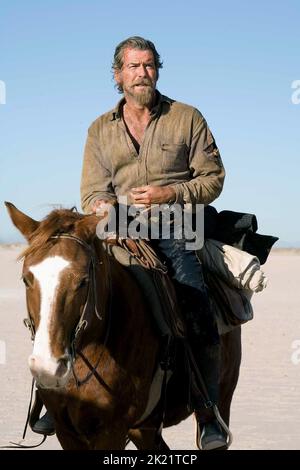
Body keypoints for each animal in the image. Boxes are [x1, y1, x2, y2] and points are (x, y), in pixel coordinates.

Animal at [4, 202, 243, 452]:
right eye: (26, 279)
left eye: (83, 281)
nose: (48, 367)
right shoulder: (66, 431)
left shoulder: (112, 431)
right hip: (144, 428)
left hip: (223, 397)